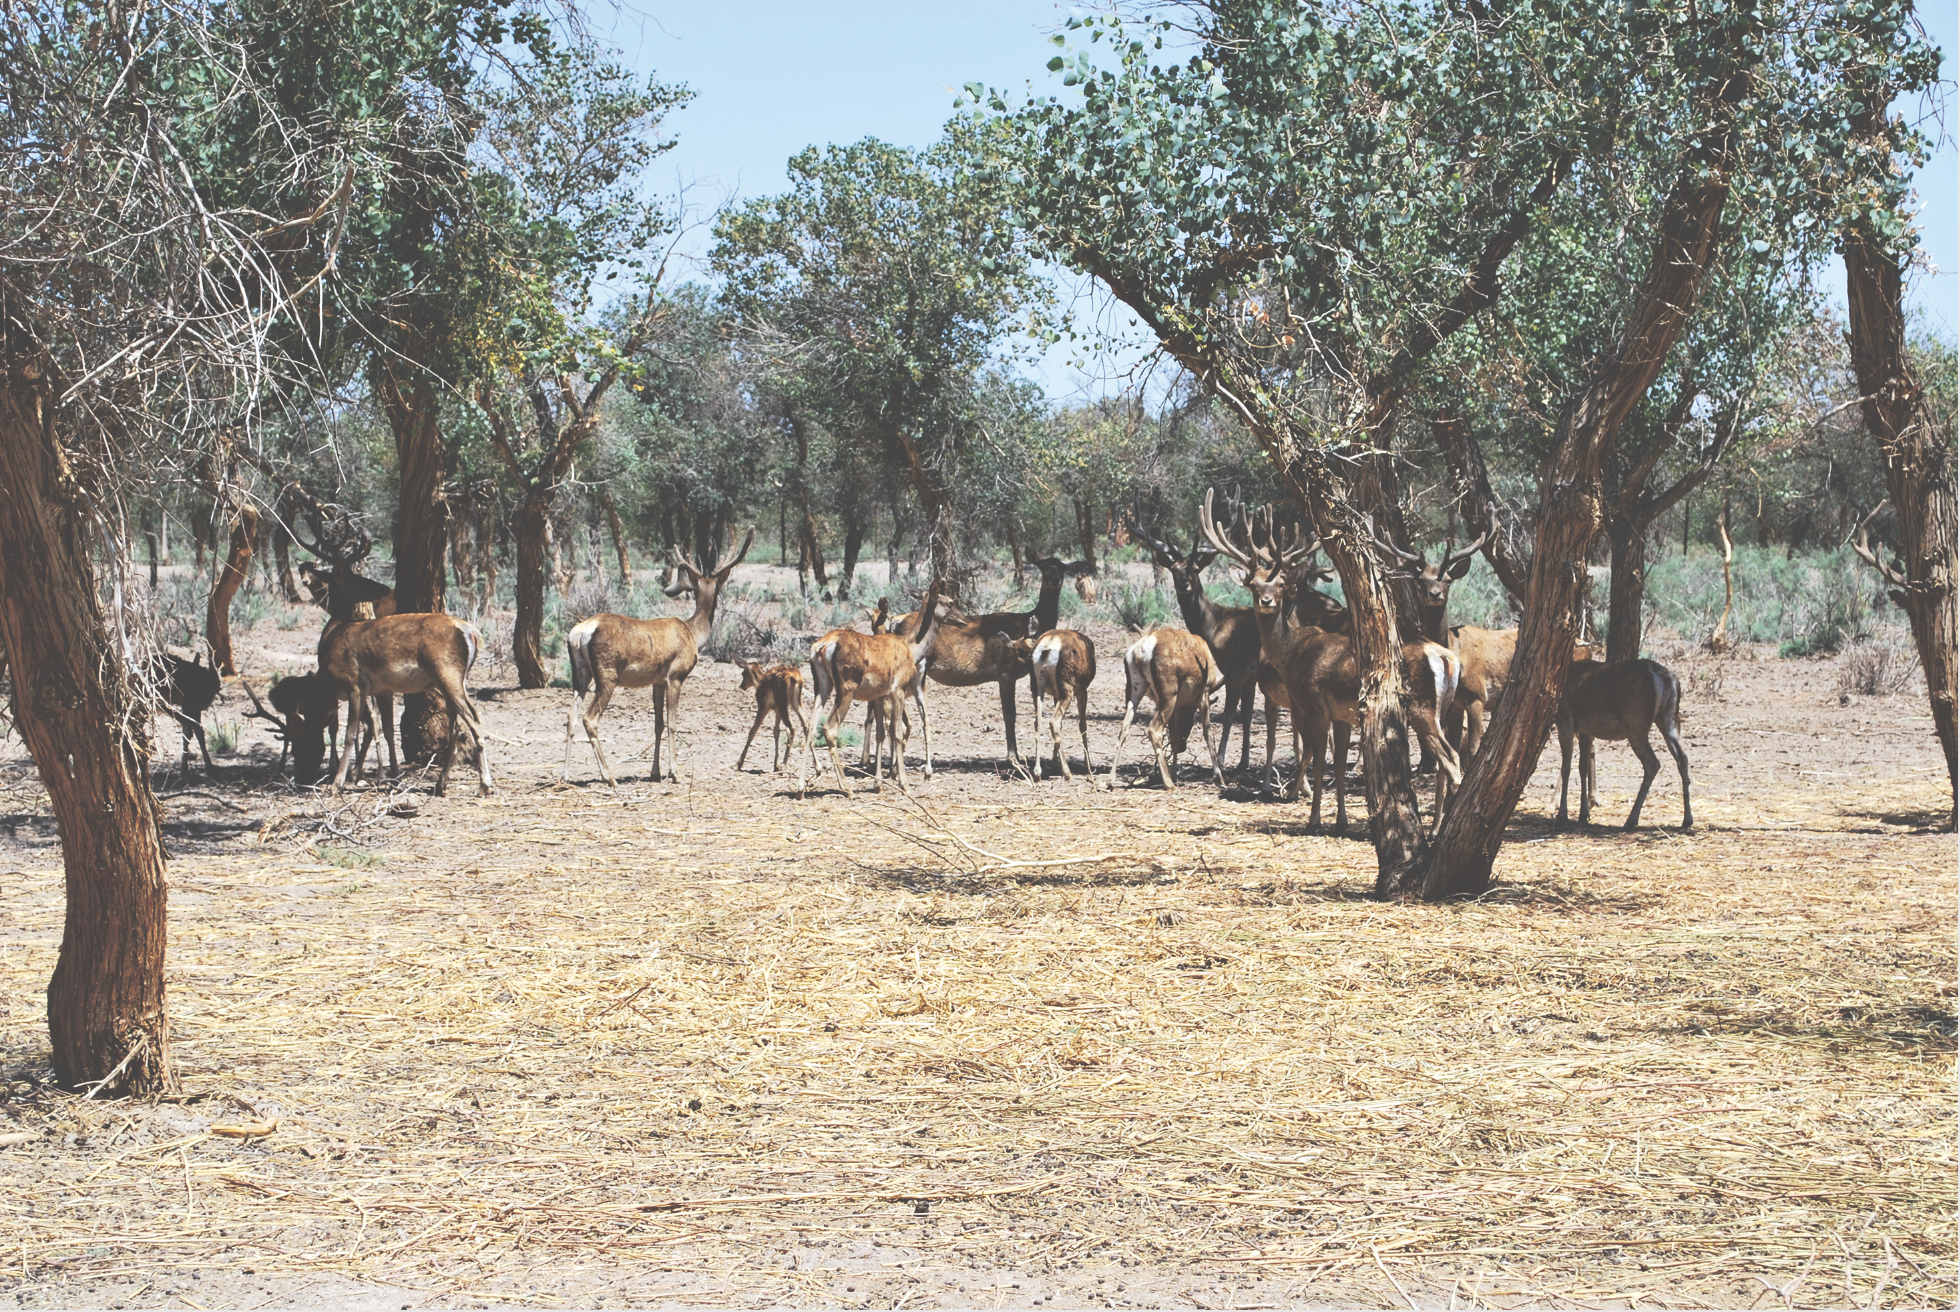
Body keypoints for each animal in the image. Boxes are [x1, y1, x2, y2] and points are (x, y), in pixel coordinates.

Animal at [568, 525, 756, 788]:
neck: (693, 634)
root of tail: (581, 632)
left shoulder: (656, 681)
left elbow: (657, 724)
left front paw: (655, 772)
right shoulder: (675, 676)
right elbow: (672, 723)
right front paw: (675, 773)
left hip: (580, 674)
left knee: (570, 716)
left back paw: (564, 776)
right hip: (607, 674)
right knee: (590, 718)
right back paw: (609, 777)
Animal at [799, 576, 944, 792]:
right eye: (949, 601)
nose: (962, 619)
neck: (908, 645)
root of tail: (823, 645)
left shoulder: (879, 697)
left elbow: (881, 730)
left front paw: (881, 778)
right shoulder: (895, 693)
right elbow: (894, 731)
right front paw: (898, 780)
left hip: (823, 689)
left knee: (811, 726)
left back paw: (802, 785)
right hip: (847, 693)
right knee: (830, 728)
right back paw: (847, 787)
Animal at [1105, 623, 1223, 788]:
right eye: (1192, 719)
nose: (1184, 747)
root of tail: (1141, 650)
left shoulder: (1178, 704)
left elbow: (1175, 735)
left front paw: (1175, 775)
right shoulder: (1204, 691)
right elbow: (1208, 733)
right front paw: (1218, 777)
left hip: (1135, 688)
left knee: (1124, 728)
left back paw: (1110, 780)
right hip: (1168, 692)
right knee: (1154, 730)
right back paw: (1168, 784)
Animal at [1552, 655, 1693, 827]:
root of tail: (1665, 678)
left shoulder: (1564, 719)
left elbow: (1566, 768)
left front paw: (1562, 814)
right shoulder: (1585, 730)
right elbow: (1582, 767)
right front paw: (1583, 814)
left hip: (1635, 722)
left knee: (1652, 763)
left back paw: (1631, 819)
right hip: (1669, 718)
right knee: (1682, 758)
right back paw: (1687, 819)